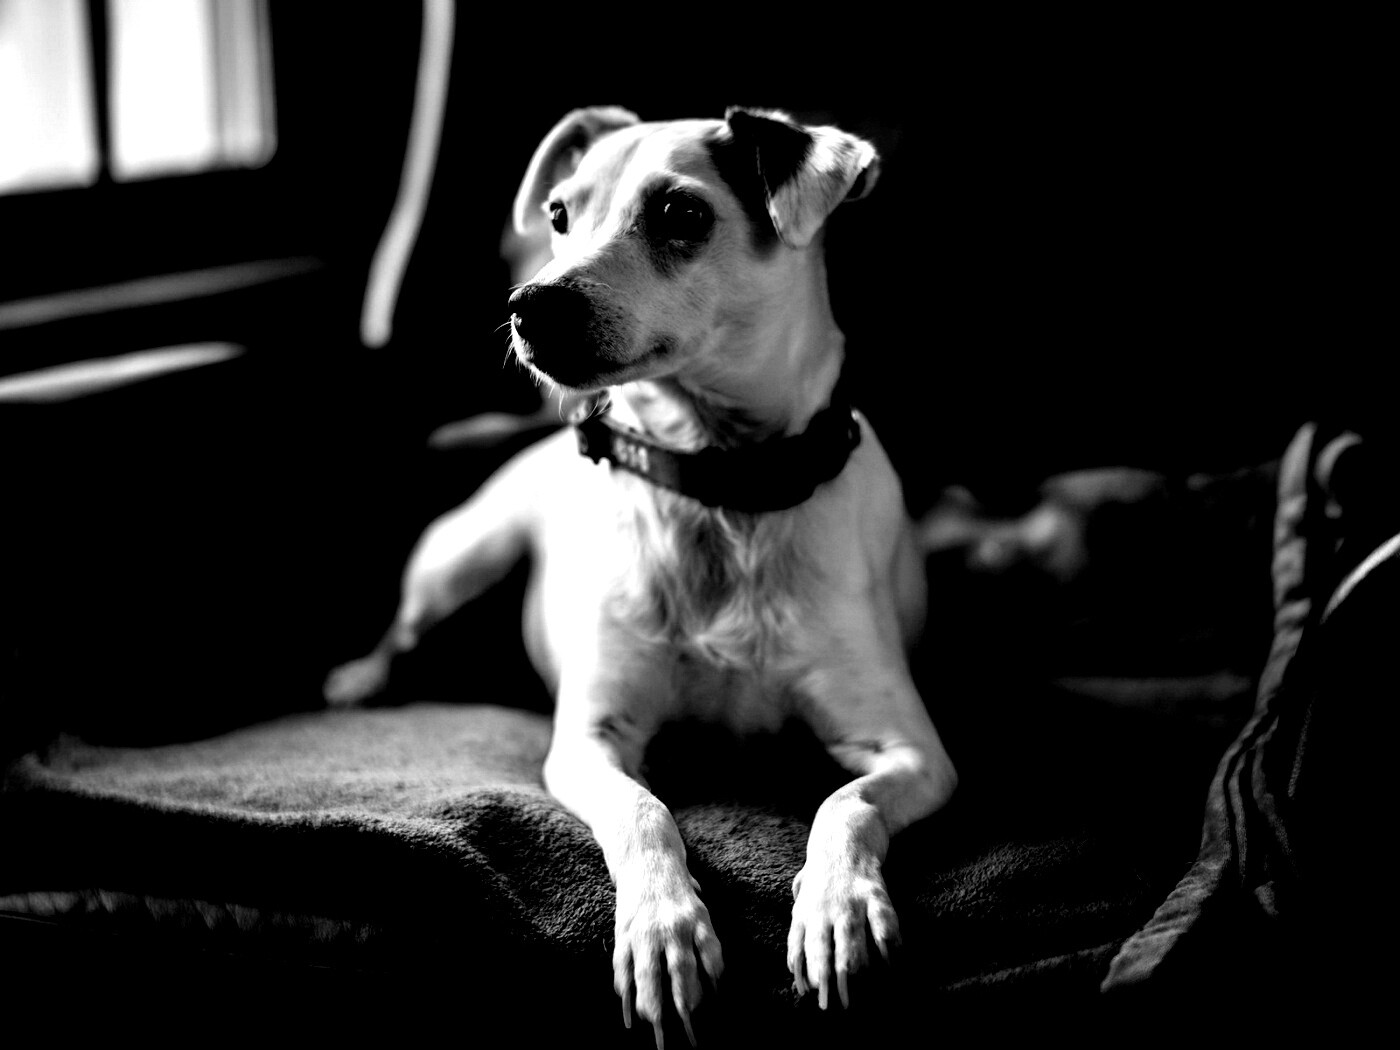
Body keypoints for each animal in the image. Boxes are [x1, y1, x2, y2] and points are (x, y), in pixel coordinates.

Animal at [324, 106, 957, 1045]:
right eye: (557, 214)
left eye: (679, 214)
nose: (529, 304)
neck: (719, 486)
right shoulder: (590, 740)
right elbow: (642, 812)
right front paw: (664, 930)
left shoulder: (912, 751)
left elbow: (846, 804)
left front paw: (838, 907)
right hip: (463, 562)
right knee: (404, 628)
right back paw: (362, 680)